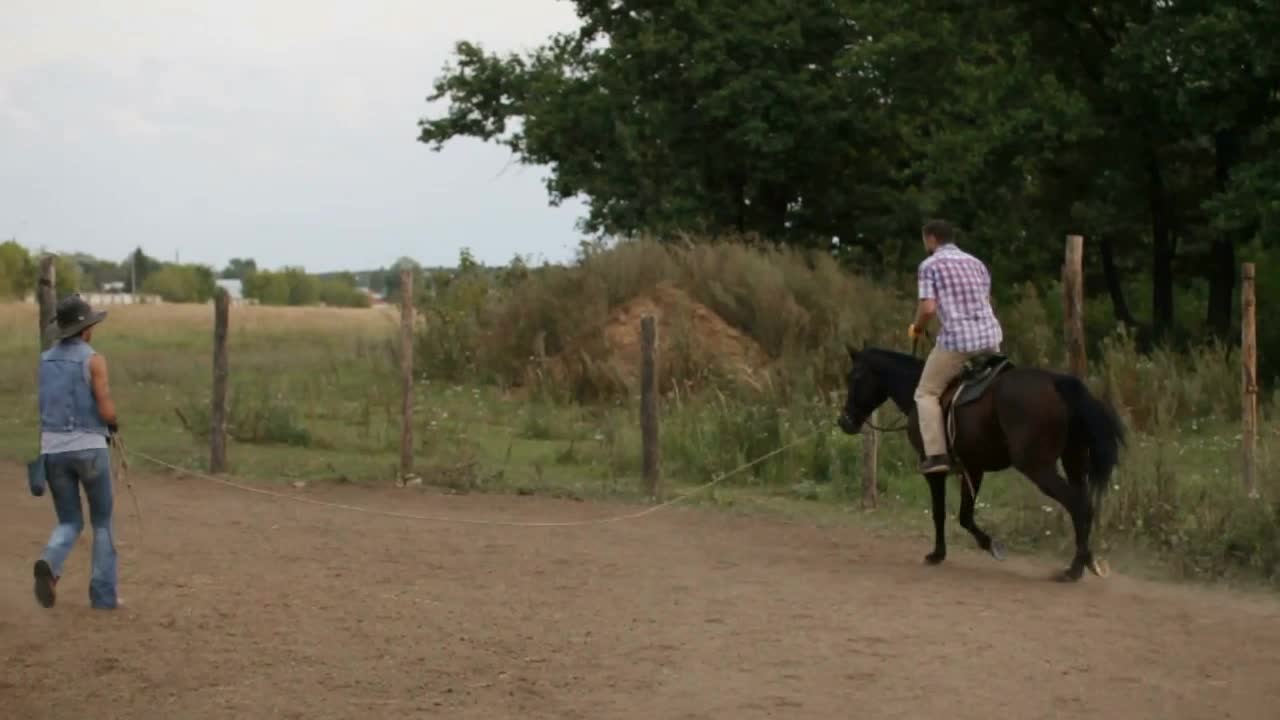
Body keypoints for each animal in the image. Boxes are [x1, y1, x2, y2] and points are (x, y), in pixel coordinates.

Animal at [839, 345, 1131, 579]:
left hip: (1039, 468)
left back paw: (1074, 570)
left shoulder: (934, 468)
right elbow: (965, 516)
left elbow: (940, 512)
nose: (844, 422)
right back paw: (1088, 561)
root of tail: (1057, 382)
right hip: (1073, 463)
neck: (915, 392)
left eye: (855, 377)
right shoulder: (973, 468)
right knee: (1085, 505)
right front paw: (988, 545)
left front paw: (938, 554)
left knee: (1077, 505)